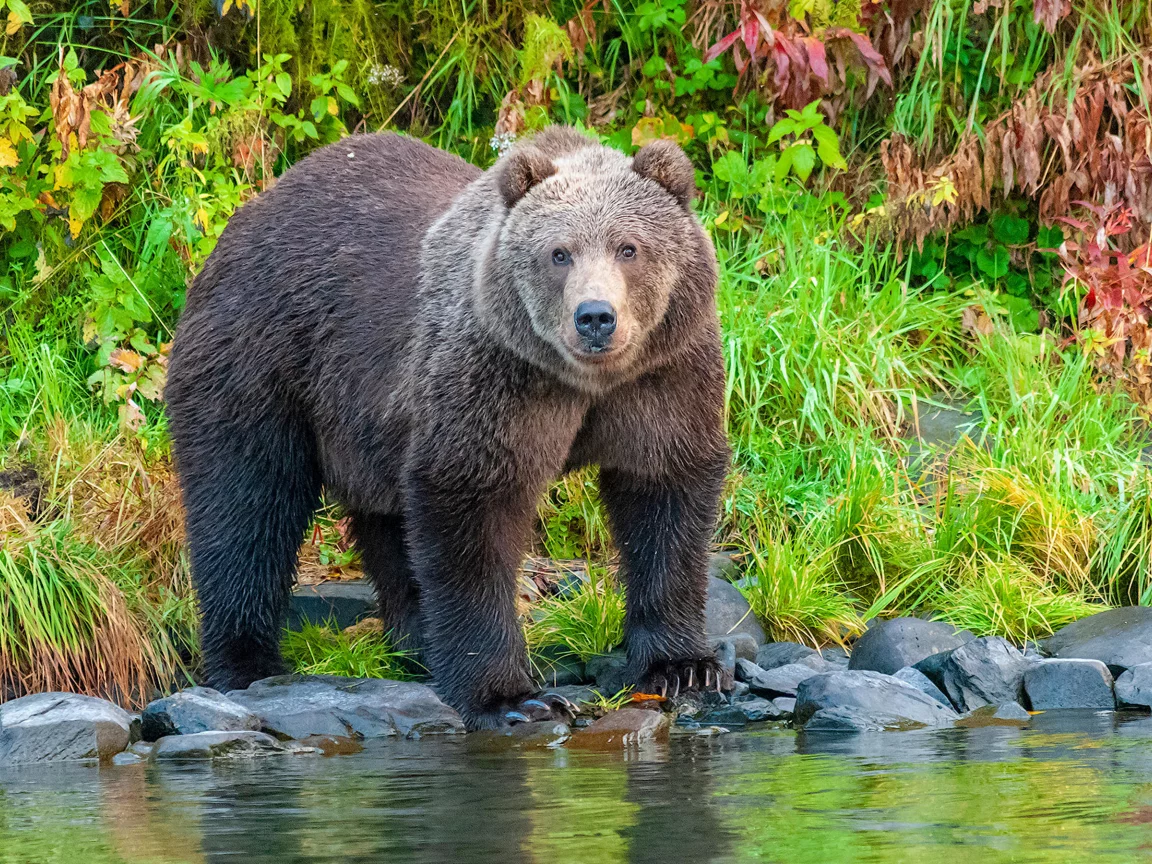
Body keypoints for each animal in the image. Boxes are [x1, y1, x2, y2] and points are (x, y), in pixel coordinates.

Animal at [164, 124, 728, 728]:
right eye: (559, 253)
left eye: (629, 248)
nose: (595, 316)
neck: (583, 382)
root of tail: (247, 217)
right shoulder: (495, 374)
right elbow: (470, 507)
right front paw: (511, 697)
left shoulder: (663, 374)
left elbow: (665, 493)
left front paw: (682, 666)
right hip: (261, 358)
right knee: (246, 503)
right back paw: (247, 663)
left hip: (370, 421)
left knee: (387, 524)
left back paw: (414, 642)